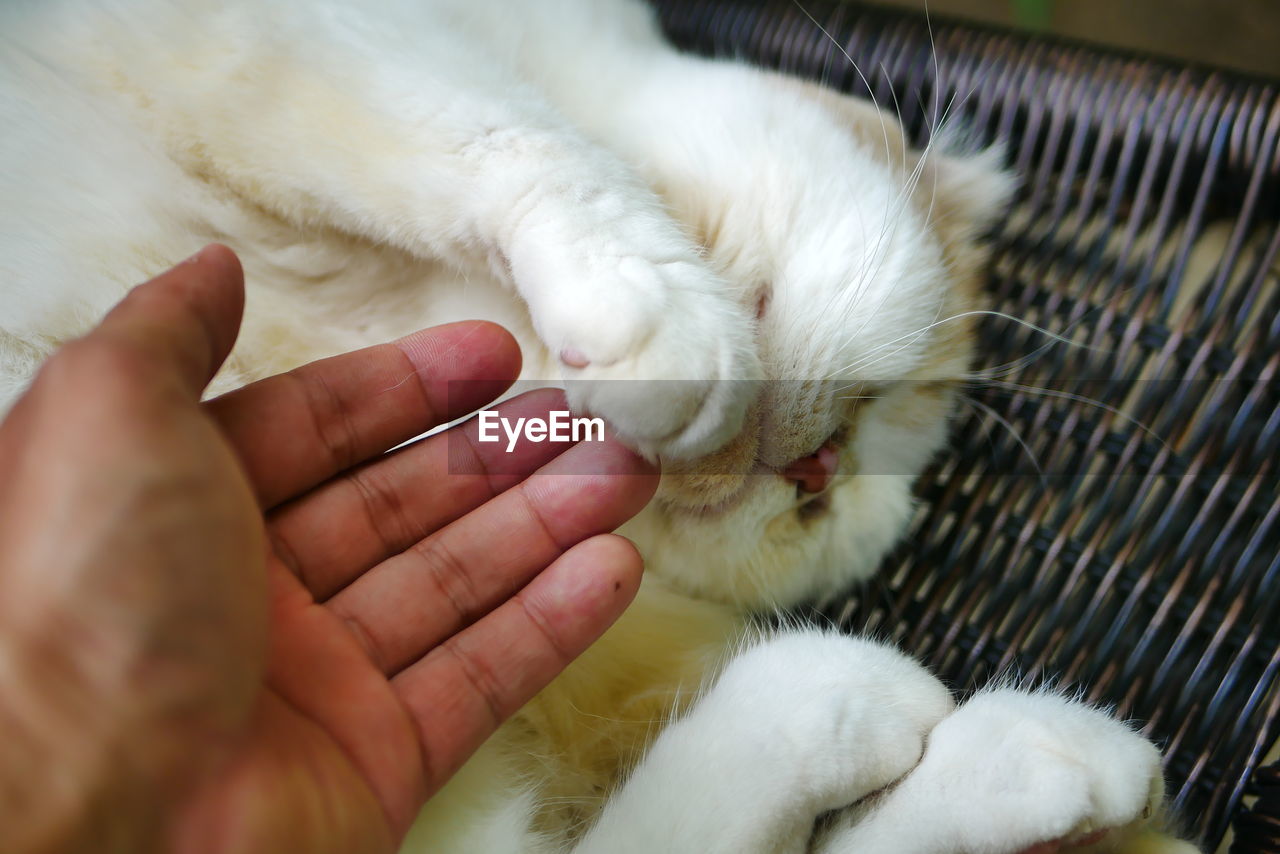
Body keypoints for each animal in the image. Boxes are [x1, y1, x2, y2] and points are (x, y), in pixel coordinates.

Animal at [0, 0, 1198, 850]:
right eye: (880, 401)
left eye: (849, 487)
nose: (818, 470)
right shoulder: (282, 34)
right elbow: (503, 134)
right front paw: (663, 321)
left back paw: (1000, 745)